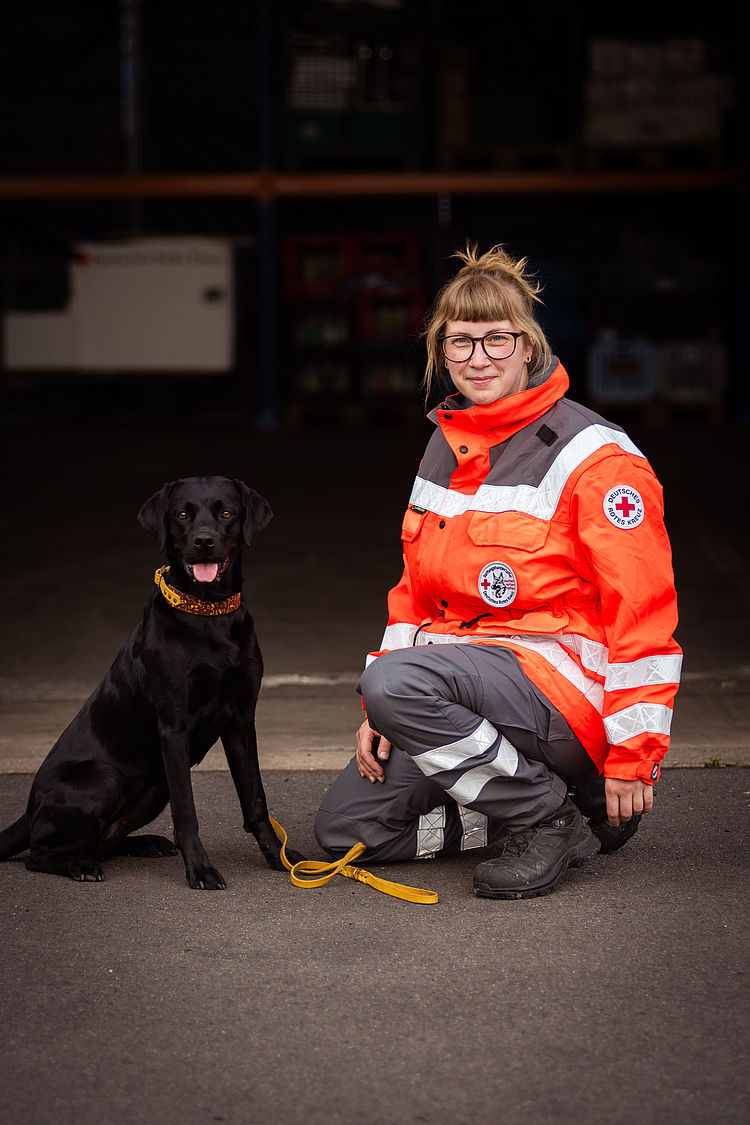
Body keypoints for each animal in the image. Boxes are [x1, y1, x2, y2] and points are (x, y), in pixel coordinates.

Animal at [0, 475, 301, 889]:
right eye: (182, 514)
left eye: (226, 513)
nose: (203, 541)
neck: (209, 615)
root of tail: (28, 811)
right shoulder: (173, 728)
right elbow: (187, 812)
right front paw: (201, 870)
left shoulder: (241, 720)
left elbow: (256, 799)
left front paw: (280, 857)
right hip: (103, 778)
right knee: (39, 853)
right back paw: (79, 865)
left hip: (155, 788)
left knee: (102, 842)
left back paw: (144, 843)